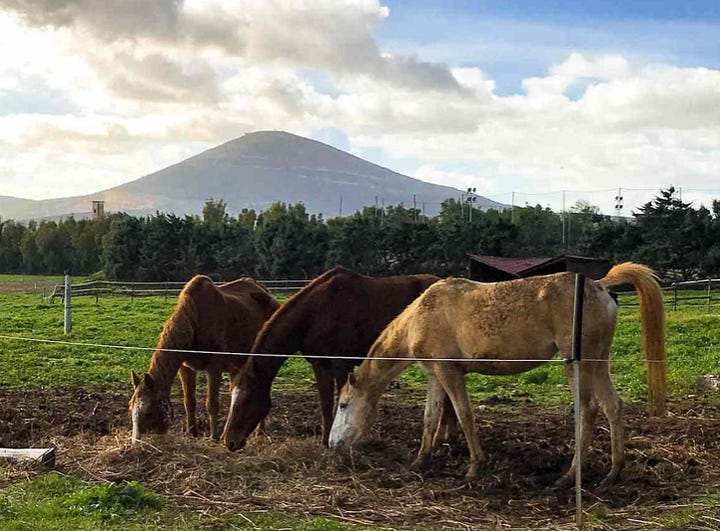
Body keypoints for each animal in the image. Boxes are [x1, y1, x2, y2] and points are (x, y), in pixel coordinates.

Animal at [128, 276, 278, 442]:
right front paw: (192, 432)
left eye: (148, 412)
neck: (195, 322)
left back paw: (260, 432)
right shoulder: (185, 368)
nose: (137, 442)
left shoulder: (214, 367)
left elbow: (212, 404)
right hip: (237, 365)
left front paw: (214, 437)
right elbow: (189, 402)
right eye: (130, 409)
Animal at [219, 268, 456, 450]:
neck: (316, 313)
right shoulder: (319, 364)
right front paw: (325, 442)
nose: (230, 442)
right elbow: (325, 405)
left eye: (246, 399)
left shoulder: (341, 363)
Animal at [330, 264, 668, 488]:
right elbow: (430, 418)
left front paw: (474, 468)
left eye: (343, 405)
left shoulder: (449, 372)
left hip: (577, 365)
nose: (333, 443)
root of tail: (599, 286)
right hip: (598, 362)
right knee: (612, 406)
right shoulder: (435, 376)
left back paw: (570, 476)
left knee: (588, 409)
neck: (422, 315)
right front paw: (419, 462)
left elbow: (464, 415)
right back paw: (613, 472)